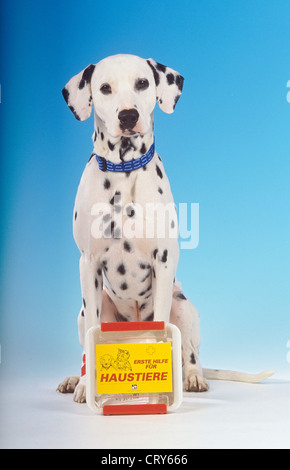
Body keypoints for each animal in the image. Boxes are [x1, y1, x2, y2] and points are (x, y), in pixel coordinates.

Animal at [57, 54, 274, 400]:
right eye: (105, 88)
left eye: (142, 83)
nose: (128, 115)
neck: (124, 173)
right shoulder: (87, 265)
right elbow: (92, 328)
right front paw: (84, 386)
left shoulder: (163, 261)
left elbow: (161, 331)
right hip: (86, 310)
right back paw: (73, 378)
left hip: (183, 306)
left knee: (191, 355)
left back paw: (193, 378)